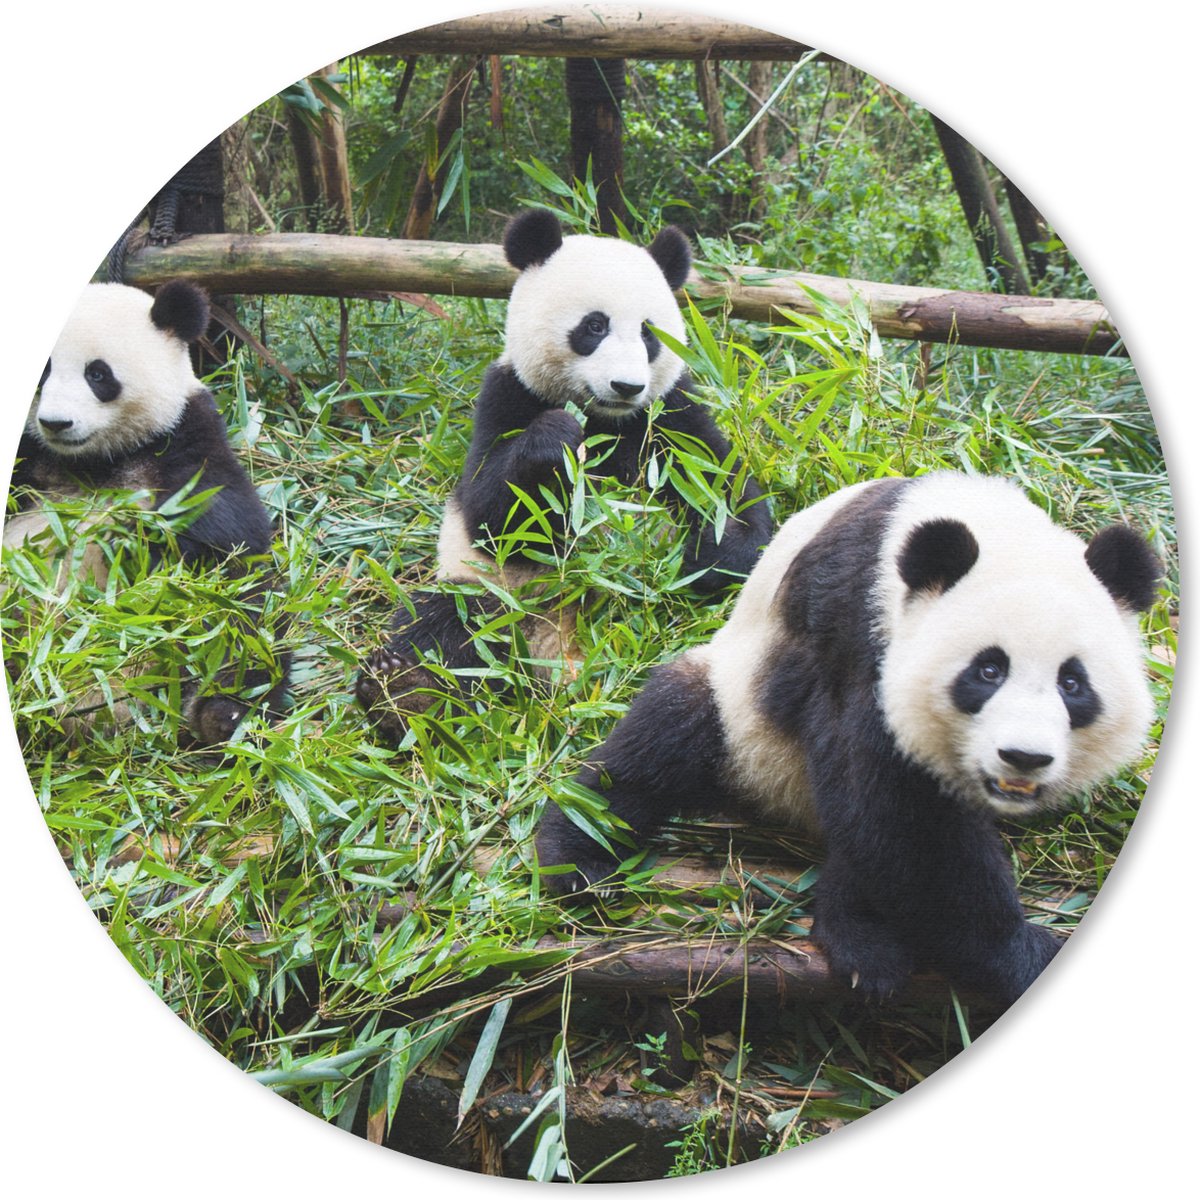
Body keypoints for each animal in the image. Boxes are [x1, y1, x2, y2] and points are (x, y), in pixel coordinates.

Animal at [4, 279, 289, 744]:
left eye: (97, 374)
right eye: (42, 371)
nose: (56, 423)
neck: (95, 460)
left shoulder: (186, 441)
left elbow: (225, 533)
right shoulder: (28, 461)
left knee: (244, 642)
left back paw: (219, 717)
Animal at [356, 208, 772, 744]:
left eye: (648, 333)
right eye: (594, 325)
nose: (626, 386)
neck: (606, 419)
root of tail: (558, 657)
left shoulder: (670, 415)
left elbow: (727, 491)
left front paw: (708, 552)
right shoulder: (506, 394)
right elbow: (489, 513)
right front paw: (557, 439)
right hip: (494, 597)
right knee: (445, 623)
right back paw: (405, 694)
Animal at [535, 472, 1162, 1006]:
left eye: (1072, 683)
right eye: (988, 671)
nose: (1023, 758)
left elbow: (883, 824)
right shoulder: (860, 632)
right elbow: (901, 815)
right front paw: (1024, 954)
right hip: (740, 718)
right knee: (657, 746)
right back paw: (579, 863)